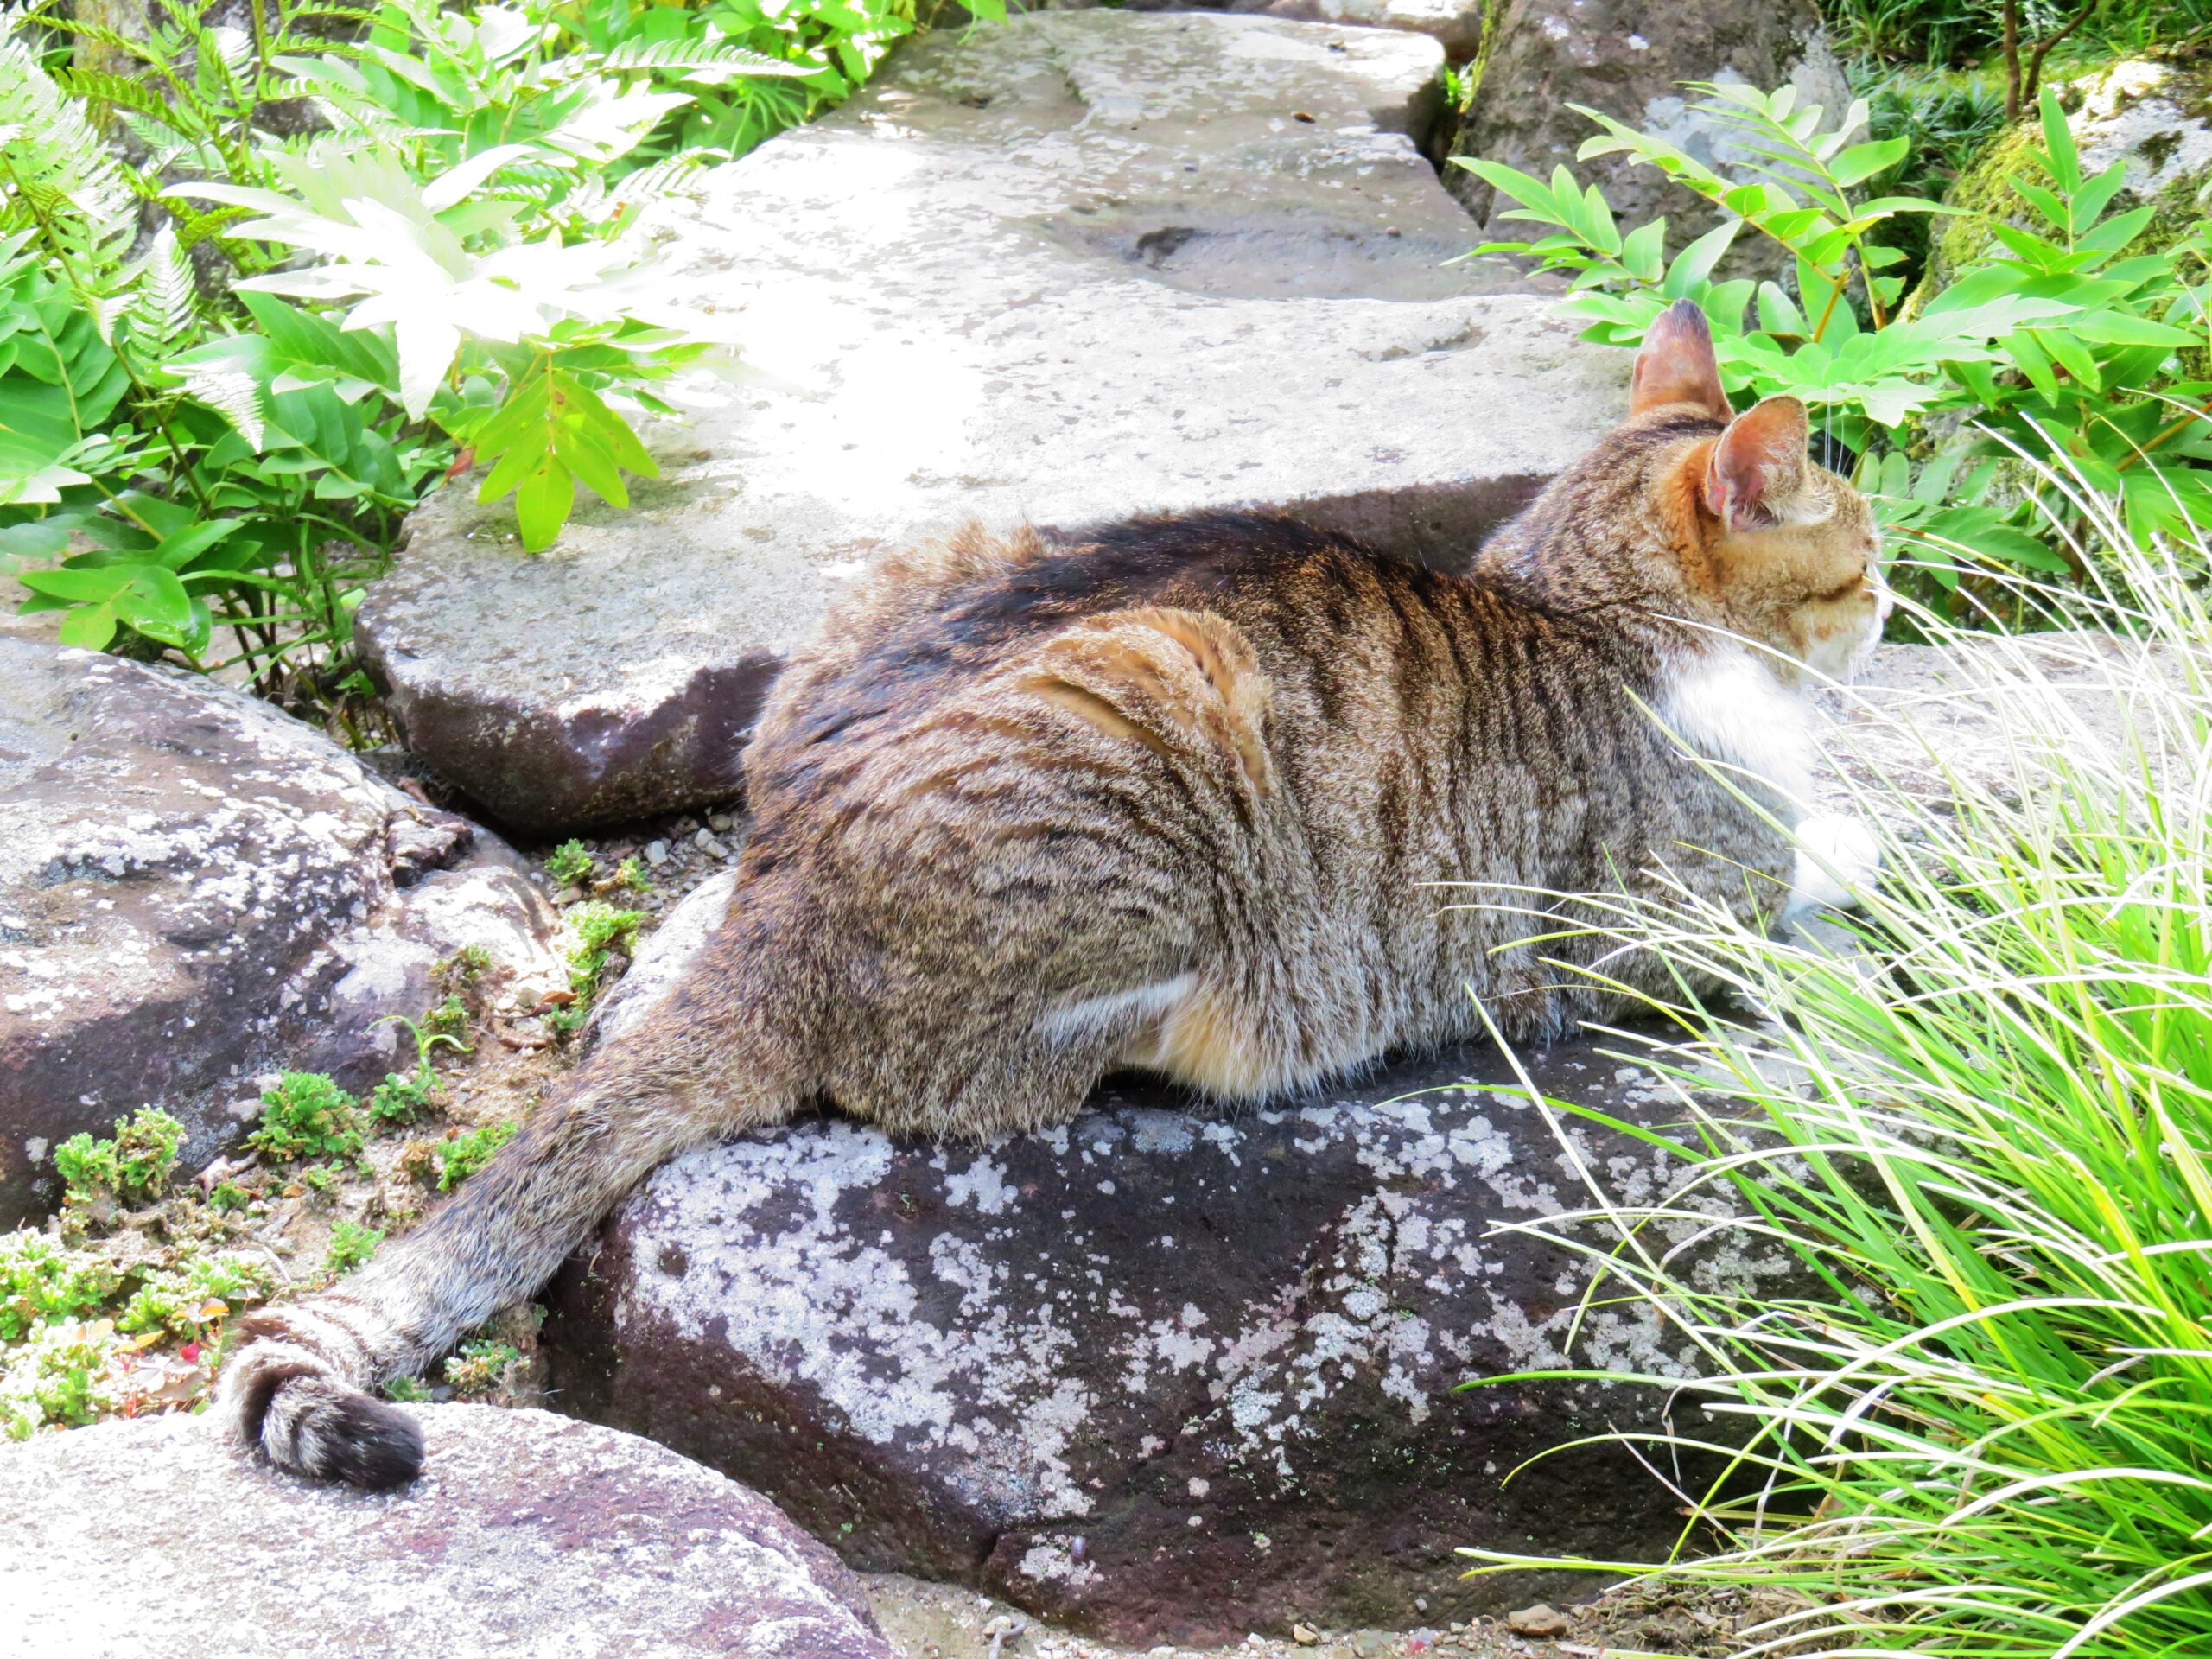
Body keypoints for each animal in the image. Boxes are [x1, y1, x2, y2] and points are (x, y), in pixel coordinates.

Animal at [215, 302, 1893, 1495]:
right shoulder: (1666, 923)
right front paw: (1861, 847)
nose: (1896, 594)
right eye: (1864, 555)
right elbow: (1812, 864)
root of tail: (768, 886)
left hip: (966, 545)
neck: (1591, 608)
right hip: (1170, 725)